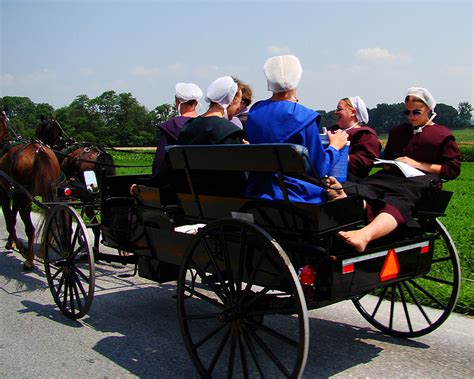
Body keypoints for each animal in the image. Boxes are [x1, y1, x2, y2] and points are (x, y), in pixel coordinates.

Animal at [0, 108, 61, 272]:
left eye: (39, 128)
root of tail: (39, 150)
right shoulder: (15, 194)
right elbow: (13, 218)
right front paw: (11, 243)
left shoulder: (5, 193)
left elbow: (9, 221)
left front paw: (18, 245)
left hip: (24, 197)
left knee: (30, 228)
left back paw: (28, 259)